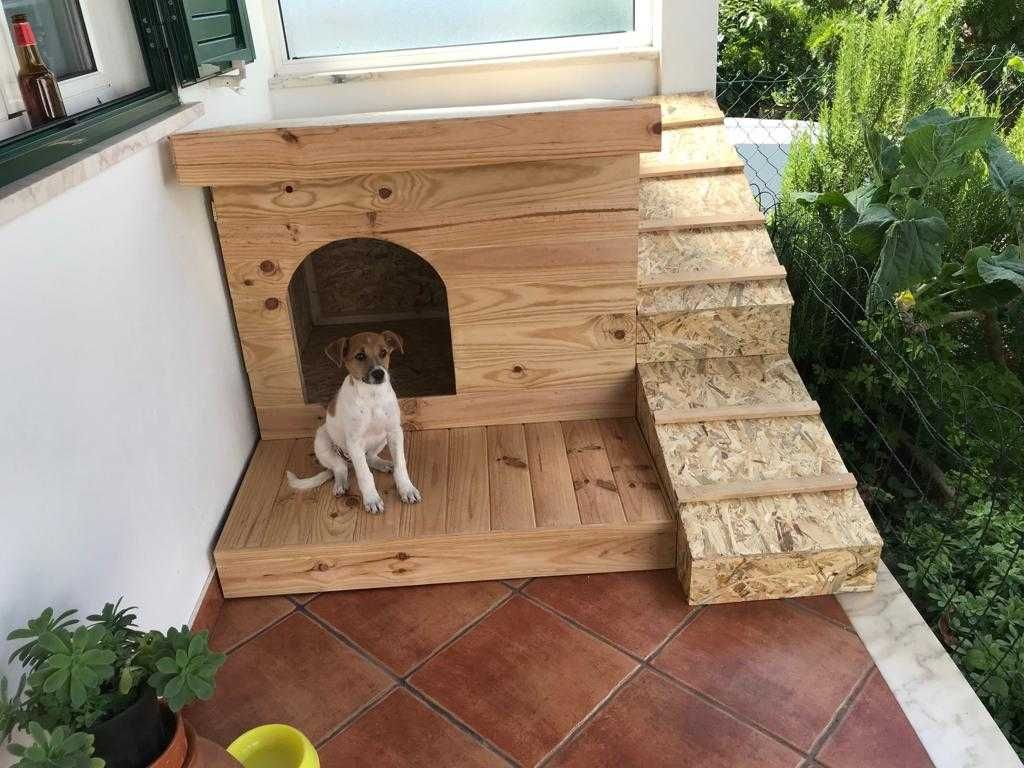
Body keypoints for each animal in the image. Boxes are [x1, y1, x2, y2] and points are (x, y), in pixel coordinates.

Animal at [284, 331, 419, 518]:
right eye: (360, 356)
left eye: (383, 352)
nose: (379, 374)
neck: (372, 396)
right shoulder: (355, 442)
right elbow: (364, 474)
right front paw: (372, 499)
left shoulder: (394, 432)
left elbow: (401, 465)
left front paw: (407, 489)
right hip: (322, 439)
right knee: (340, 468)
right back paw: (340, 484)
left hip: (381, 440)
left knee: (369, 457)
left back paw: (383, 464)